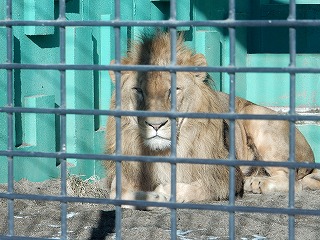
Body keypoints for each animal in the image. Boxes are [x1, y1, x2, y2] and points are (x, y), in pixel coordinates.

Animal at [104, 31, 318, 208]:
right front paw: (153, 197)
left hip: (258, 117)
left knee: (292, 180)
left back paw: (257, 182)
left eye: (173, 90)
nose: (155, 124)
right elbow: (116, 192)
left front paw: (164, 192)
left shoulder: (224, 175)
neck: (161, 152)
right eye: (138, 90)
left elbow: (198, 187)